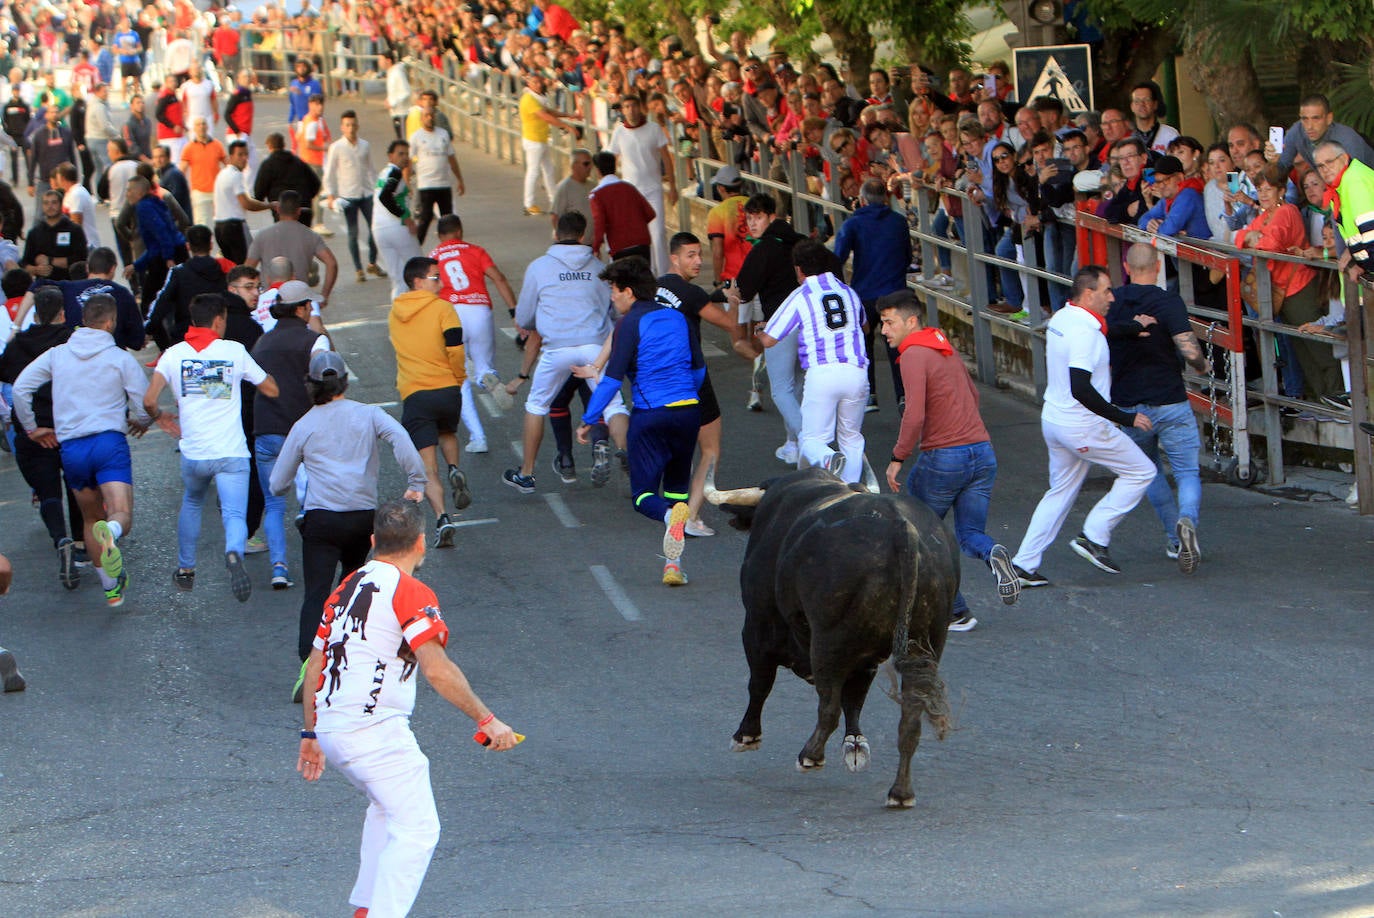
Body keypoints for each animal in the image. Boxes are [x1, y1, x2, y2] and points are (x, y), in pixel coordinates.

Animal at [719, 469, 956, 808]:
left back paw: (810, 755)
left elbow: (760, 683)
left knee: (828, 706)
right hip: (925, 646)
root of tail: (899, 525)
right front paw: (855, 743)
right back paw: (900, 792)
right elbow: (854, 698)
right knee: (909, 720)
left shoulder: (756, 626)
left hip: (828, 640)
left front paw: (746, 735)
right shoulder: (868, 657)